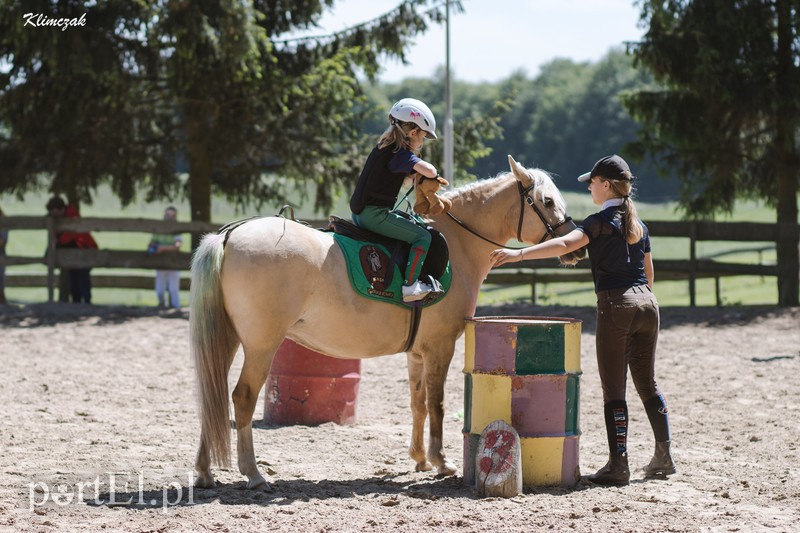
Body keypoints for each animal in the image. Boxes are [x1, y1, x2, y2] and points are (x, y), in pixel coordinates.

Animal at [190, 155, 586, 489]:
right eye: (546, 202)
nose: (577, 246)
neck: (457, 245)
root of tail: (229, 235)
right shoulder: (440, 347)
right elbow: (438, 404)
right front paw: (441, 462)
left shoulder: (416, 353)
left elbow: (418, 403)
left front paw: (420, 459)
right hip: (262, 345)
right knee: (241, 398)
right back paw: (254, 473)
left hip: (228, 339)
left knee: (212, 396)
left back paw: (205, 472)